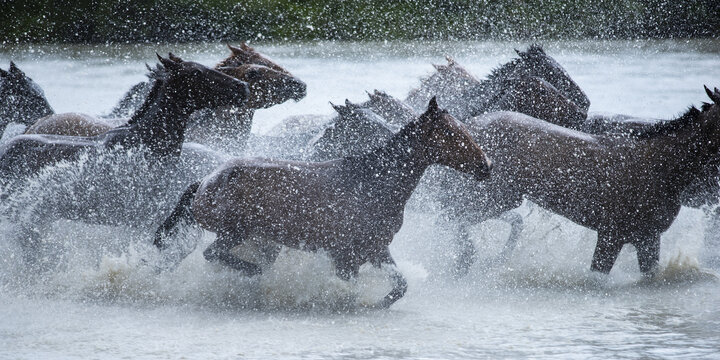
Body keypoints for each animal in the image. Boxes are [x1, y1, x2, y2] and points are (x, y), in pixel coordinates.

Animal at [155, 97, 496, 306]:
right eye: (452, 134)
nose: (487, 165)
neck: (372, 183)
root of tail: (206, 181)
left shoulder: (375, 249)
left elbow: (399, 287)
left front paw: (377, 304)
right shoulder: (345, 255)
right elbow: (349, 288)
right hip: (236, 232)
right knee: (213, 254)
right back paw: (254, 274)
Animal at [442, 88, 720, 276]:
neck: (661, 166)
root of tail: (470, 126)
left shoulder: (648, 238)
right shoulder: (611, 236)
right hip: (494, 197)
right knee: (451, 218)